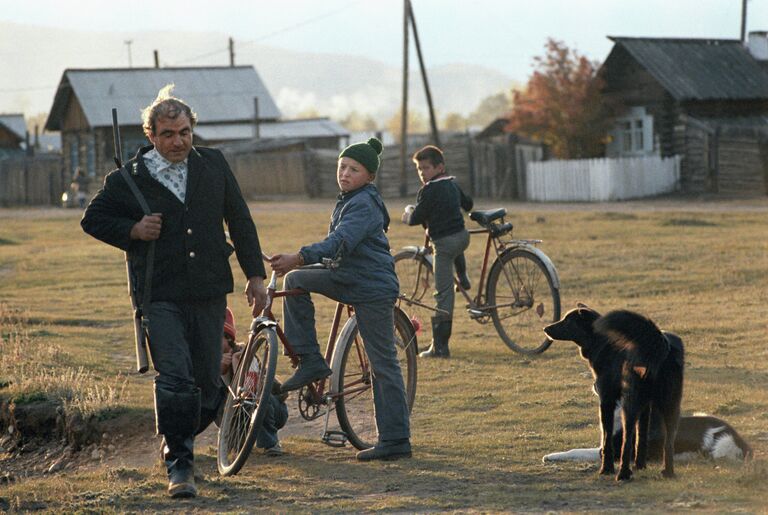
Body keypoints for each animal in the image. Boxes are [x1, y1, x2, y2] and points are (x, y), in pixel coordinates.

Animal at [544, 304, 684, 482]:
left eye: (567, 321)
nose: (545, 328)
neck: (602, 343)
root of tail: (657, 344)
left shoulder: (606, 401)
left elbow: (607, 439)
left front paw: (607, 469)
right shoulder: (646, 406)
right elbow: (641, 438)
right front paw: (640, 466)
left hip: (630, 404)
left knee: (626, 441)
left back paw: (623, 474)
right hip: (671, 405)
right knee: (669, 442)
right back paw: (668, 472)